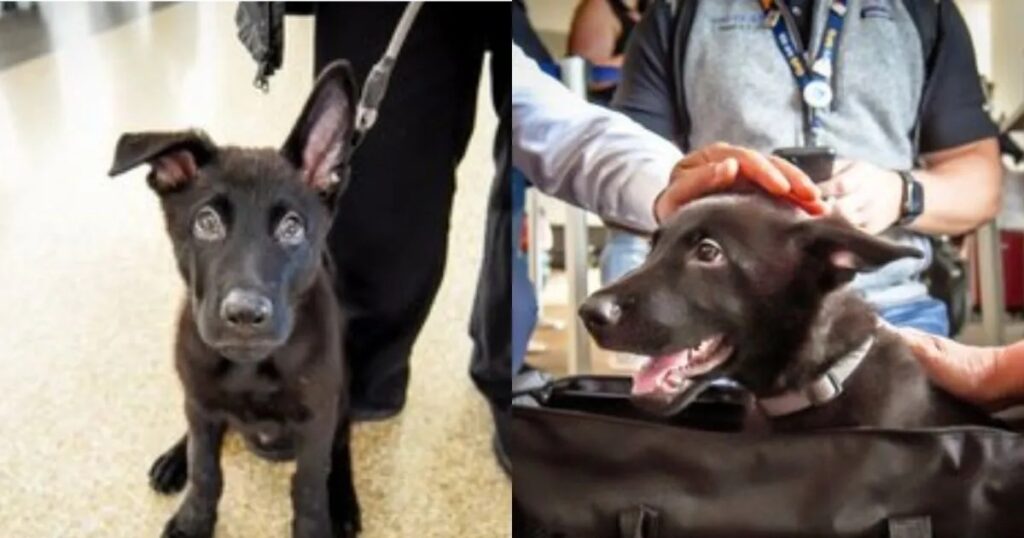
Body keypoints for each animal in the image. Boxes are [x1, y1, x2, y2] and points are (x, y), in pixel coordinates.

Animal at [109, 60, 360, 532]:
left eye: (292, 228)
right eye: (206, 222)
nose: (244, 314)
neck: (250, 367)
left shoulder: (318, 419)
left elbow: (309, 487)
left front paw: (320, 518)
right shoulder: (202, 404)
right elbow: (206, 470)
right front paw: (192, 521)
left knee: (342, 446)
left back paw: (346, 499)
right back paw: (174, 459)